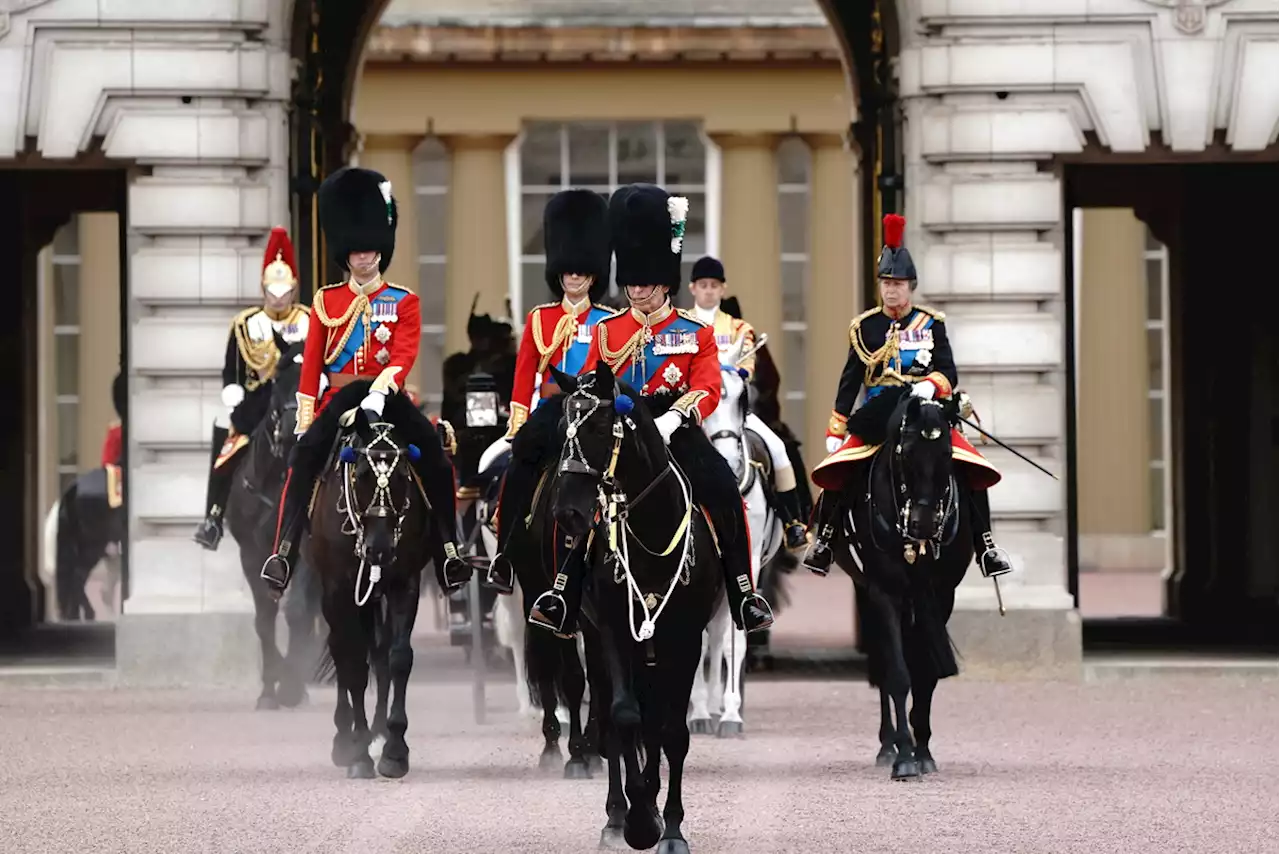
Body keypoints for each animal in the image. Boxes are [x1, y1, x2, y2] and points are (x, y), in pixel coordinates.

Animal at [222, 343, 320, 711]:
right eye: (278, 378)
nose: (294, 427)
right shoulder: (252, 555)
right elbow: (264, 620)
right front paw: (270, 686)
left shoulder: (304, 554)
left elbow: (297, 612)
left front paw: (290, 684)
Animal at [550, 366, 727, 854]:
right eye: (561, 426)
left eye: (595, 428)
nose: (568, 513)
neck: (651, 534)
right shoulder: (613, 631)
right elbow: (625, 717)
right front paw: (639, 819)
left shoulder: (685, 638)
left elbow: (671, 733)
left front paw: (670, 827)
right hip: (599, 641)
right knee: (617, 722)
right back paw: (616, 817)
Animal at [824, 386, 972, 783]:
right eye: (905, 451)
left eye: (947, 453)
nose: (923, 525)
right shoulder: (883, 591)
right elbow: (898, 673)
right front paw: (904, 755)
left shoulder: (940, 595)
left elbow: (924, 673)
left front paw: (923, 751)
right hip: (867, 592)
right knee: (883, 663)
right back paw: (887, 745)